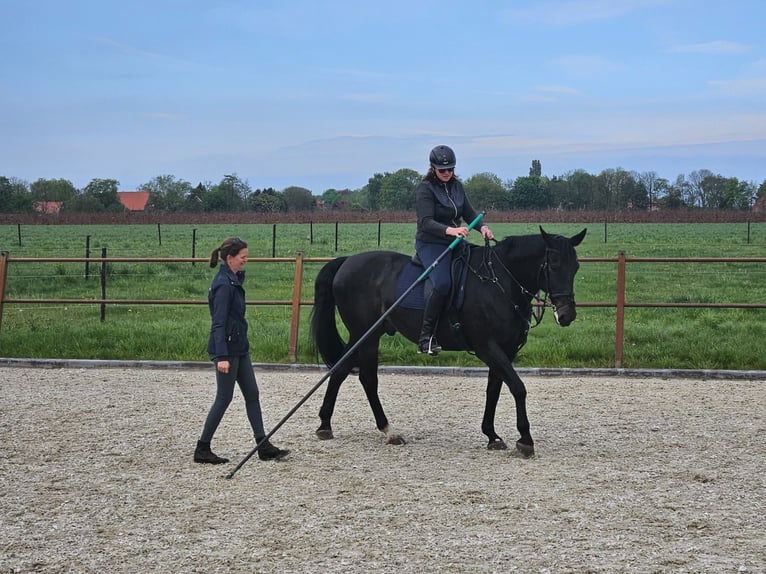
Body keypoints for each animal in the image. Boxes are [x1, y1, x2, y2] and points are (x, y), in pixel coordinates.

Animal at [309, 227, 587, 457]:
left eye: (575, 267)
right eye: (553, 266)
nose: (567, 315)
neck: (499, 282)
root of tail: (347, 261)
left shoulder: (504, 350)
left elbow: (494, 390)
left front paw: (492, 435)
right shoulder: (487, 347)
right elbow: (518, 388)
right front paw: (525, 439)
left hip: (365, 336)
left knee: (341, 372)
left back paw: (327, 425)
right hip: (365, 335)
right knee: (365, 378)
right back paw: (385, 430)